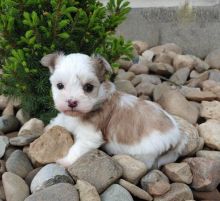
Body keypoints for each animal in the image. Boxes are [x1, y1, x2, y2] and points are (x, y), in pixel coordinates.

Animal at [40, 53, 186, 168]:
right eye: (60, 85)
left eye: (88, 87)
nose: (71, 102)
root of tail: (178, 135)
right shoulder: (67, 117)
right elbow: (61, 120)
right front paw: (49, 128)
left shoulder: (90, 135)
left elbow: (78, 148)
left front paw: (65, 161)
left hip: (147, 152)